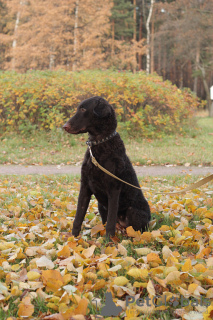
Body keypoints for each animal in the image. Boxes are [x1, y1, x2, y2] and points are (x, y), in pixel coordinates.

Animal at [62, 96, 151, 236]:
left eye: (83, 109)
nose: (64, 126)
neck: (100, 143)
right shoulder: (85, 186)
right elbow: (78, 216)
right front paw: (73, 238)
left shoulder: (114, 189)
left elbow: (110, 222)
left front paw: (108, 240)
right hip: (101, 206)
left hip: (133, 212)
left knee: (137, 231)